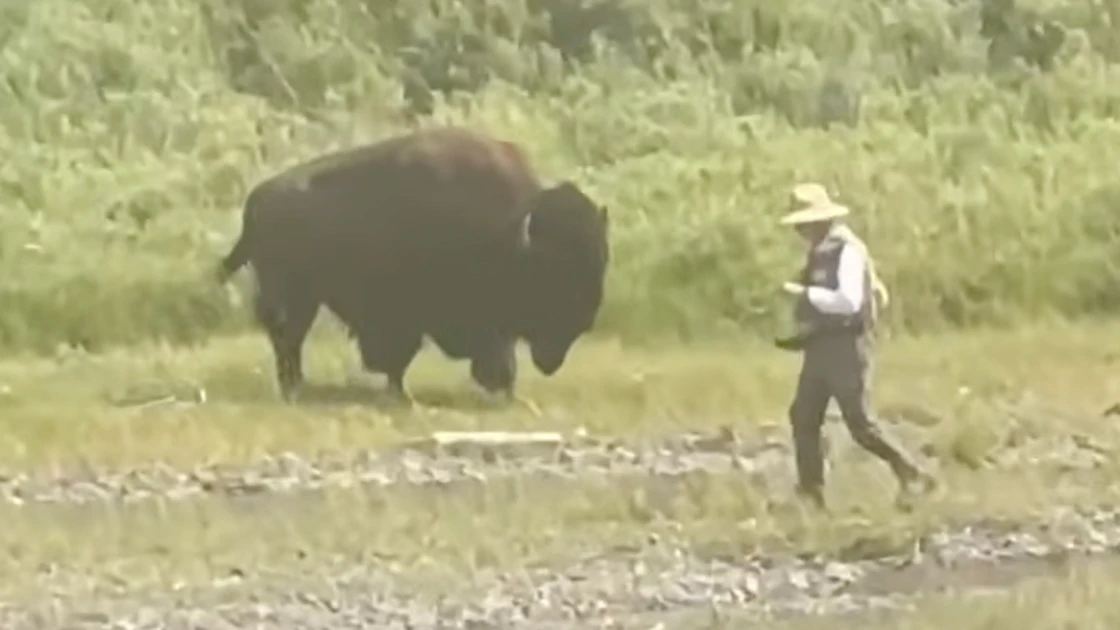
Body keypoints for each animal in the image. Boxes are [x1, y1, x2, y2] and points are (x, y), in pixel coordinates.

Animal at [216, 126, 611, 405]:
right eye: (555, 272)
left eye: (599, 262)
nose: (584, 321)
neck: (512, 232)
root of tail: (256, 202)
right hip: (293, 297)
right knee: (288, 340)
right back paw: (295, 389)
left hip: (305, 299)